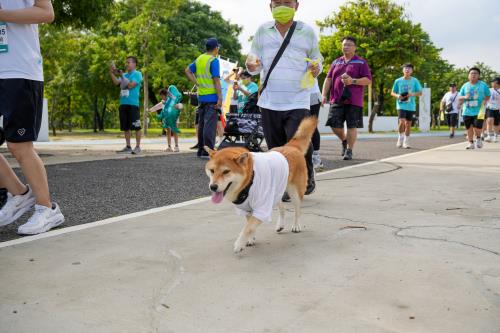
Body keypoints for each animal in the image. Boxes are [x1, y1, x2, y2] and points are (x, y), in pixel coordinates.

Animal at [205, 116, 318, 252]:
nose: (213, 187)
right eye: (212, 171)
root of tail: (291, 146)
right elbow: (249, 225)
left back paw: (296, 226)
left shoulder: (262, 207)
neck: (248, 181)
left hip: (294, 192)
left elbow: (248, 227)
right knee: (282, 208)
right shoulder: (247, 208)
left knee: (297, 210)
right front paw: (250, 239)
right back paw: (280, 225)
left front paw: (239, 243)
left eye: (226, 171)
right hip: (276, 191)